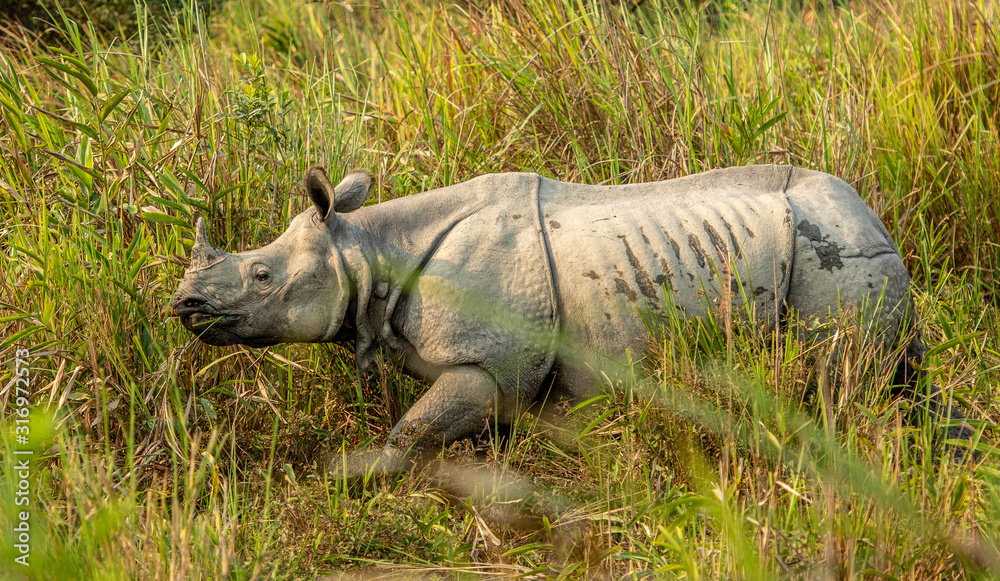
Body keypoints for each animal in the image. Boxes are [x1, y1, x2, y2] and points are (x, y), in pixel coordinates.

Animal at [171, 164, 963, 474]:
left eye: (263, 277)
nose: (184, 305)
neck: (367, 250)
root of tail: (873, 216)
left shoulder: (488, 365)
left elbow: (412, 432)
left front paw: (355, 474)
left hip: (835, 260)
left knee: (838, 388)